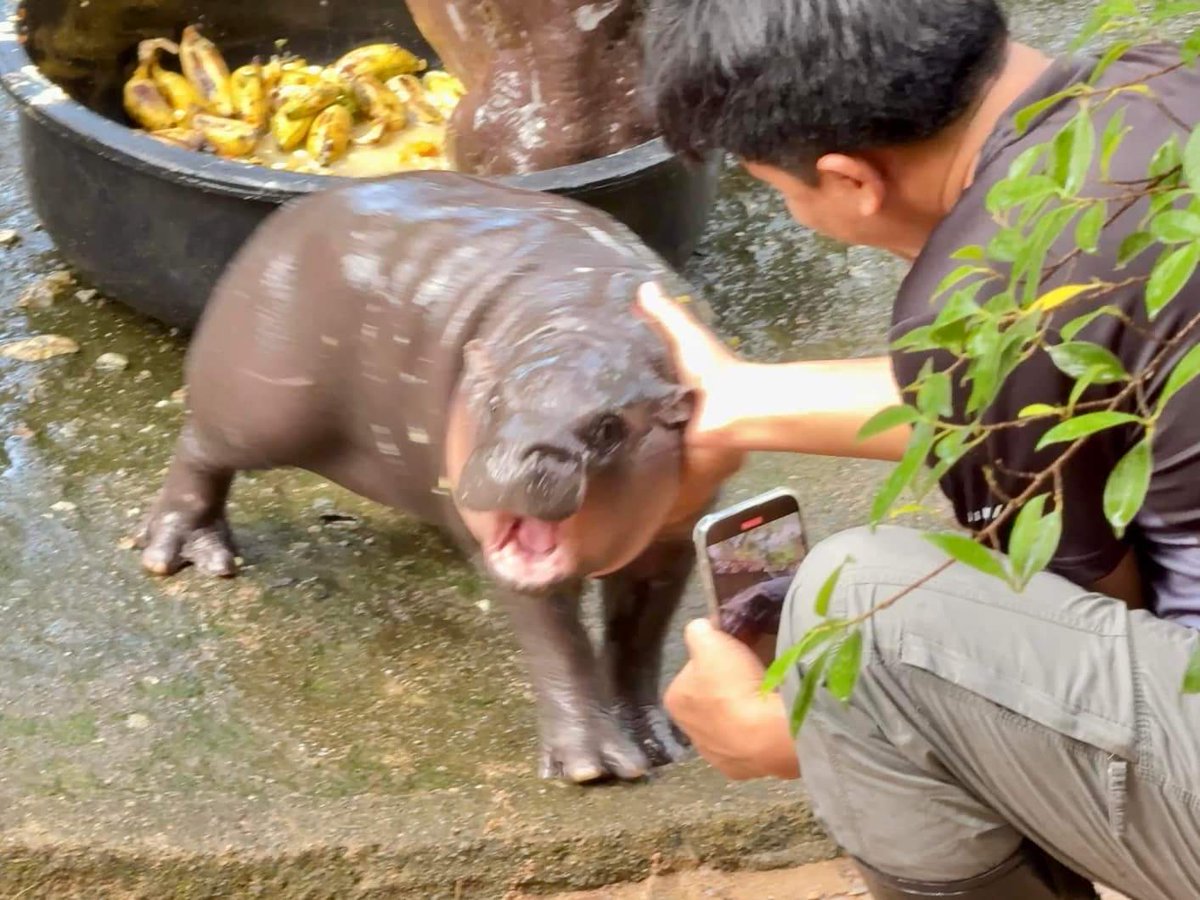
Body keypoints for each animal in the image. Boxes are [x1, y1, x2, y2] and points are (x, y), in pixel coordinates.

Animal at [135, 170, 743, 783]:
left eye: (611, 427)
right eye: (493, 399)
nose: (513, 459)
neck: (582, 324)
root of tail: (290, 213)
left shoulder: (672, 543)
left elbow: (638, 638)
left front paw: (661, 742)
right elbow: (561, 644)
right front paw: (593, 766)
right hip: (260, 413)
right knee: (199, 449)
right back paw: (184, 553)